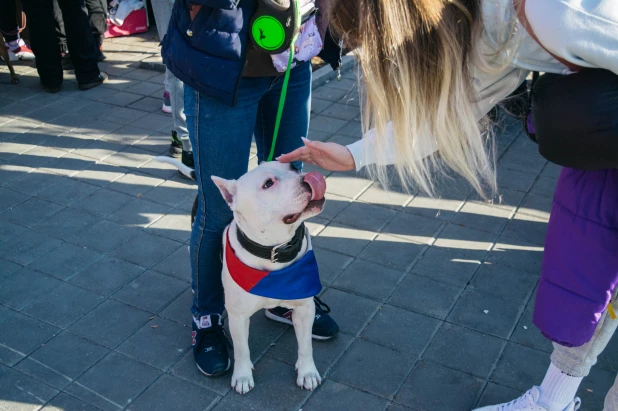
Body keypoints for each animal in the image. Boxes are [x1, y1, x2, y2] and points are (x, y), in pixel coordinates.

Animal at [211, 161, 328, 396]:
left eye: (293, 167)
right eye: (268, 184)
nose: (308, 177)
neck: (274, 251)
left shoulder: (304, 309)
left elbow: (306, 346)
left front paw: (307, 372)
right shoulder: (238, 317)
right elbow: (241, 349)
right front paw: (242, 375)